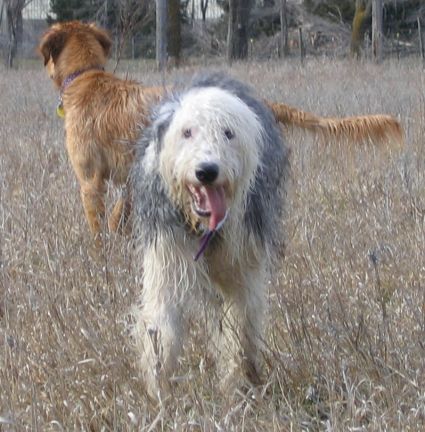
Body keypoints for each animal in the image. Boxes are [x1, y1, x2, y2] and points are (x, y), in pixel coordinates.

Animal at [131, 73, 290, 398]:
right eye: (187, 132)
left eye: (228, 133)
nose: (207, 171)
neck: (206, 227)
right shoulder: (166, 261)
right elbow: (161, 330)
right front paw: (160, 394)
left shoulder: (242, 269)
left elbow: (239, 329)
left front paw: (236, 387)